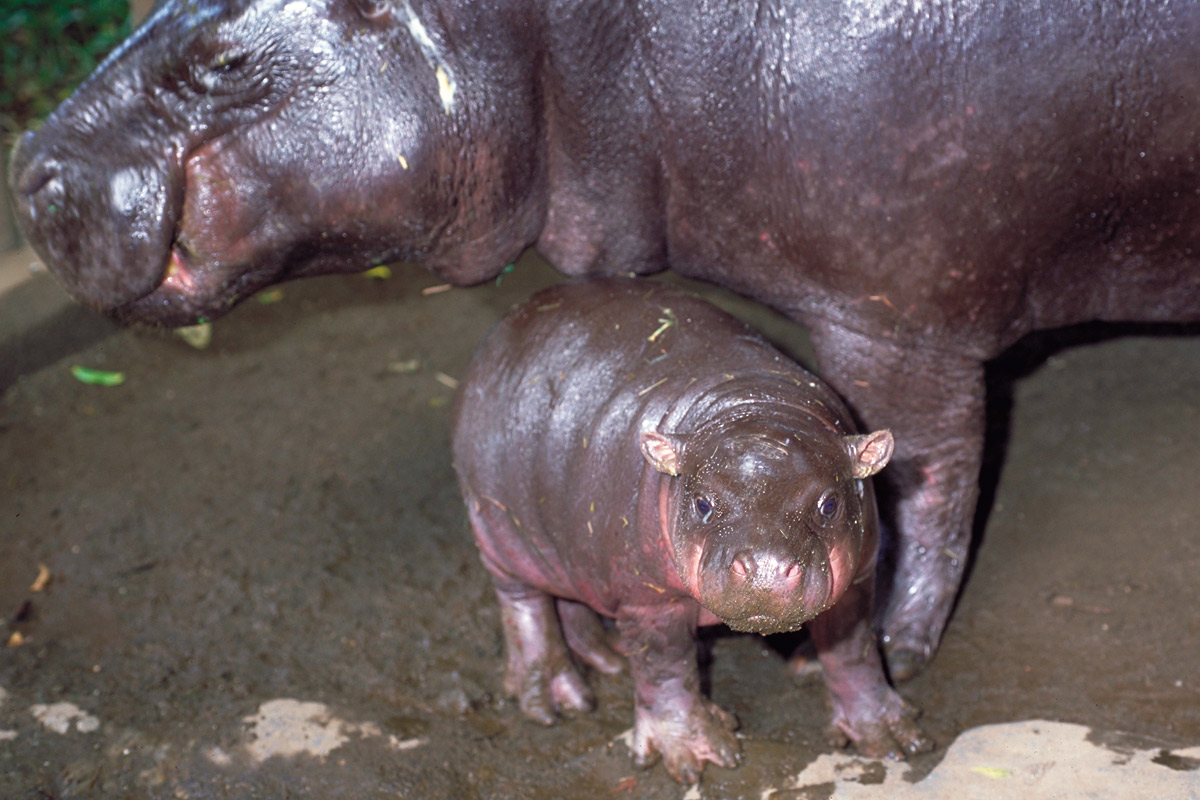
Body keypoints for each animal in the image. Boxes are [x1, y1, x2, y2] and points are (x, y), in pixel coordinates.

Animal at [451, 280, 926, 782]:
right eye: (703, 503)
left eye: (830, 503)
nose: (765, 568)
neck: (754, 404)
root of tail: (511, 321)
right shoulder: (649, 599)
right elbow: (666, 668)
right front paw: (693, 755)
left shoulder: (858, 576)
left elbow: (854, 651)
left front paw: (889, 737)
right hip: (498, 530)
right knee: (524, 606)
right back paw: (555, 702)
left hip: (568, 539)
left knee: (570, 594)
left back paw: (607, 662)